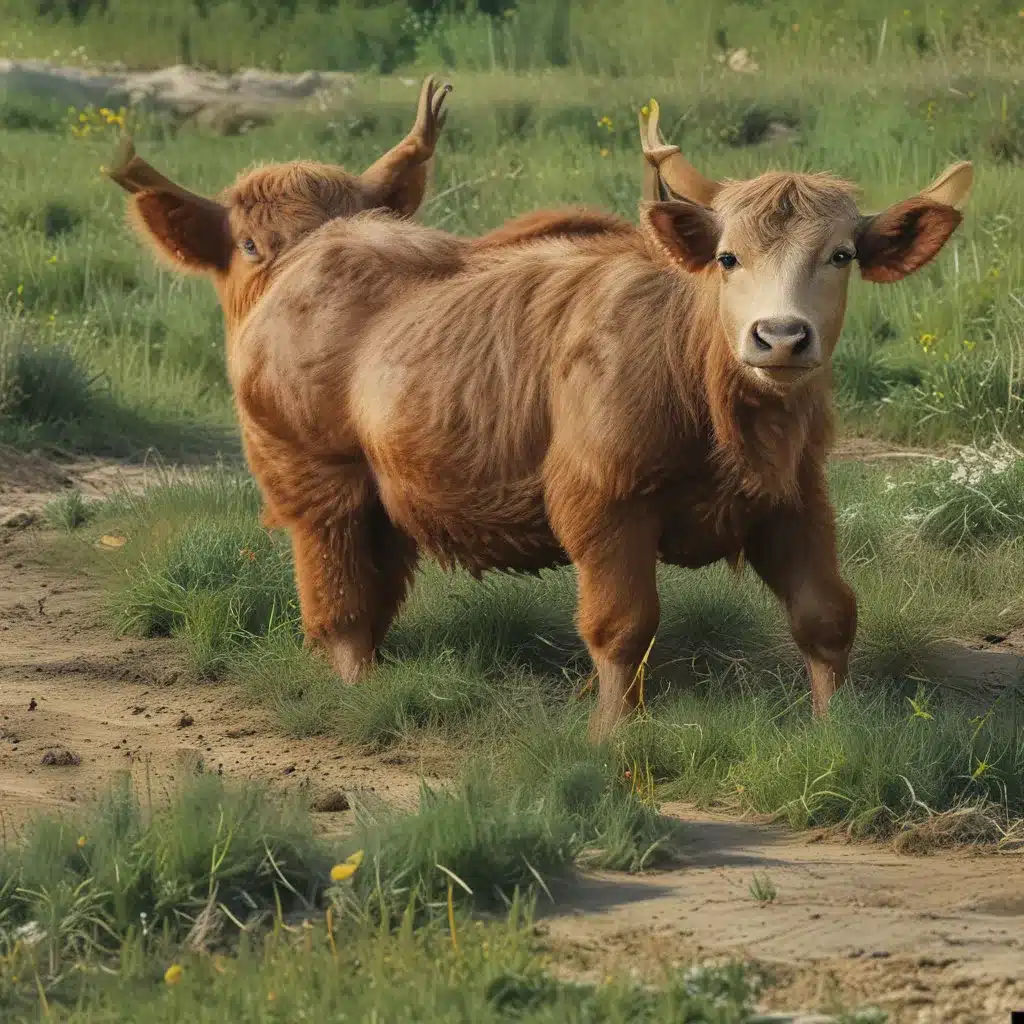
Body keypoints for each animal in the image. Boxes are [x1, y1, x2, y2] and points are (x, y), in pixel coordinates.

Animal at [112, 96, 974, 741]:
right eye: (729, 257)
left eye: (841, 256)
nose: (781, 336)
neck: (712, 395)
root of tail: (311, 255)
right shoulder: (602, 504)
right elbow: (623, 624)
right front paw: (613, 735)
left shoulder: (795, 501)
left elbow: (827, 614)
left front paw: (838, 728)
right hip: (317, 484)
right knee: (342, 608)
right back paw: (356, 693)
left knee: (375, 594)